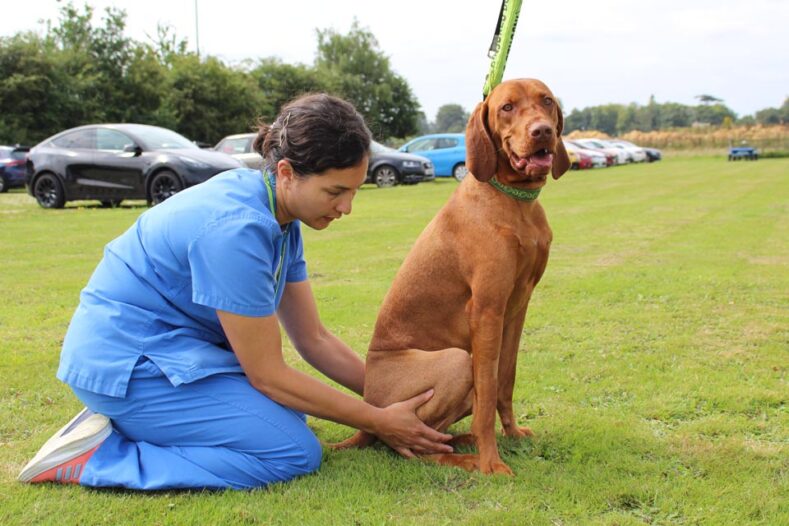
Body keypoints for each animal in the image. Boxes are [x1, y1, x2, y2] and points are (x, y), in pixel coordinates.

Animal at [336, 79, 568, 478]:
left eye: (547, 101)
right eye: (507, 107)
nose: (542, 132)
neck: (514, 201)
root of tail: (367, 413)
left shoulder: (517, 308)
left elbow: (505, 379)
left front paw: (512, 433)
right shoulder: (486, 311)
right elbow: (487, 393)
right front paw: (493, 462)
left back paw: (461, 441)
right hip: (455, 362)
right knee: (408, 444)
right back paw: (467, 457)